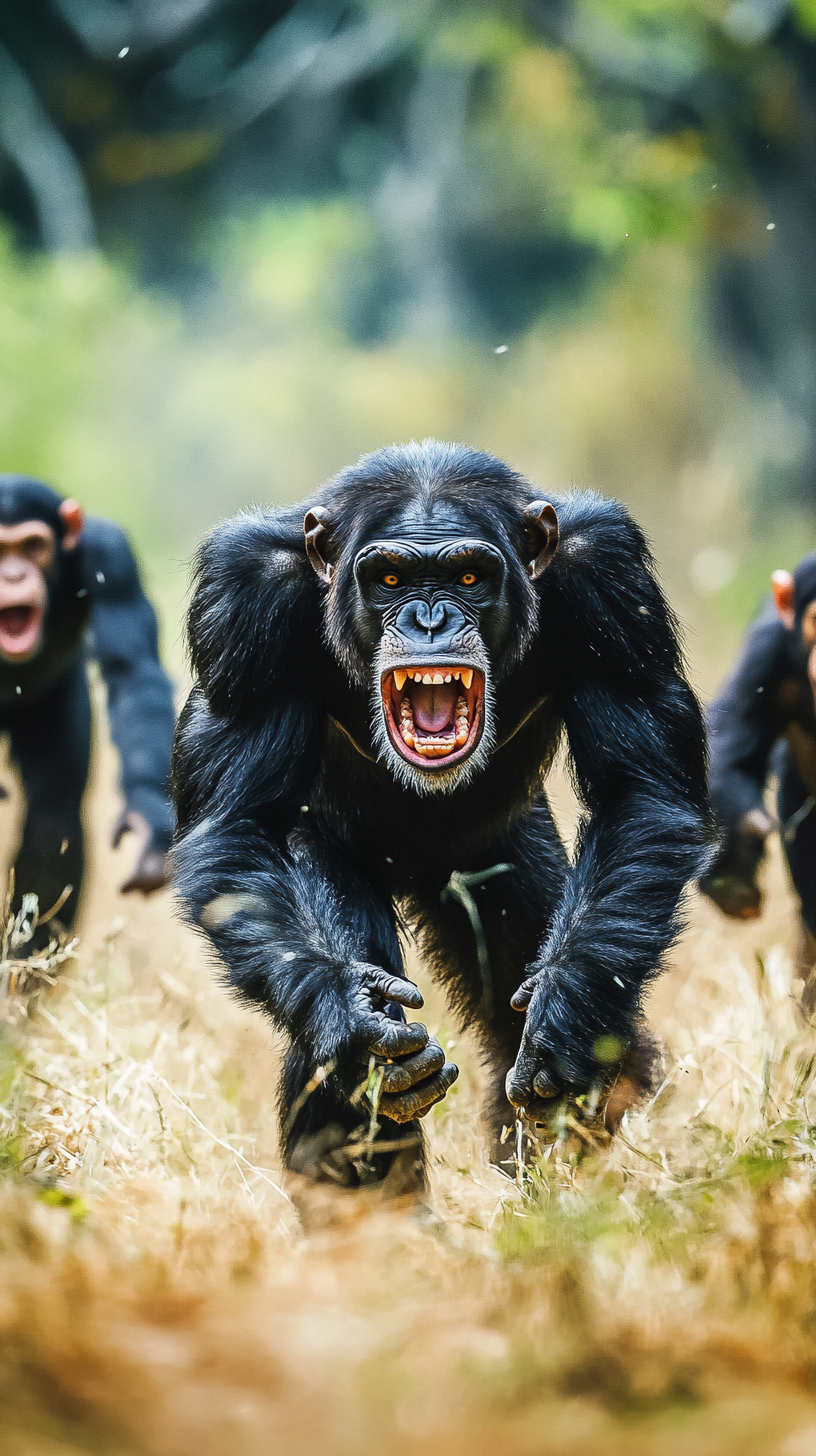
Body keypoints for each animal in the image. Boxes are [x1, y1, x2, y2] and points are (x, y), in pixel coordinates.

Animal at [0, 471, 177, 937]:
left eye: (32, 546)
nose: (13, 574)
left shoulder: (111, 559)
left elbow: (132, 673)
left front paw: (147, 814)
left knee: (54, 816)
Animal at [171, 436, 708, 1188]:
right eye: (391, 578)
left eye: (469, 576)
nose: (430, 618)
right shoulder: (243, 598)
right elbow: (236, 824)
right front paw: (348, 1018)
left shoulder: (611, 575)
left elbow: (639, 789)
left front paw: (565, 1013)